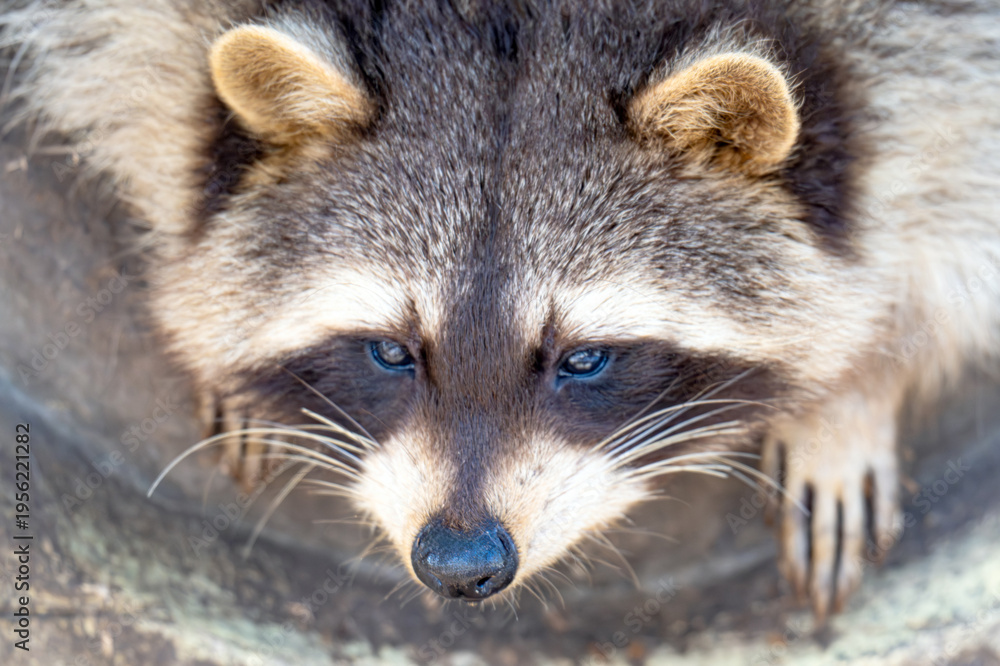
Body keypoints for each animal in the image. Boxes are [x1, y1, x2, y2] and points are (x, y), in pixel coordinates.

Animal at [2, 0, 998, 622]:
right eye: (390, 353)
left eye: (584, 360)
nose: (460, 565)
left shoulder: (926, 37)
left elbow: (946, 177)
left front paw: (856, 388)